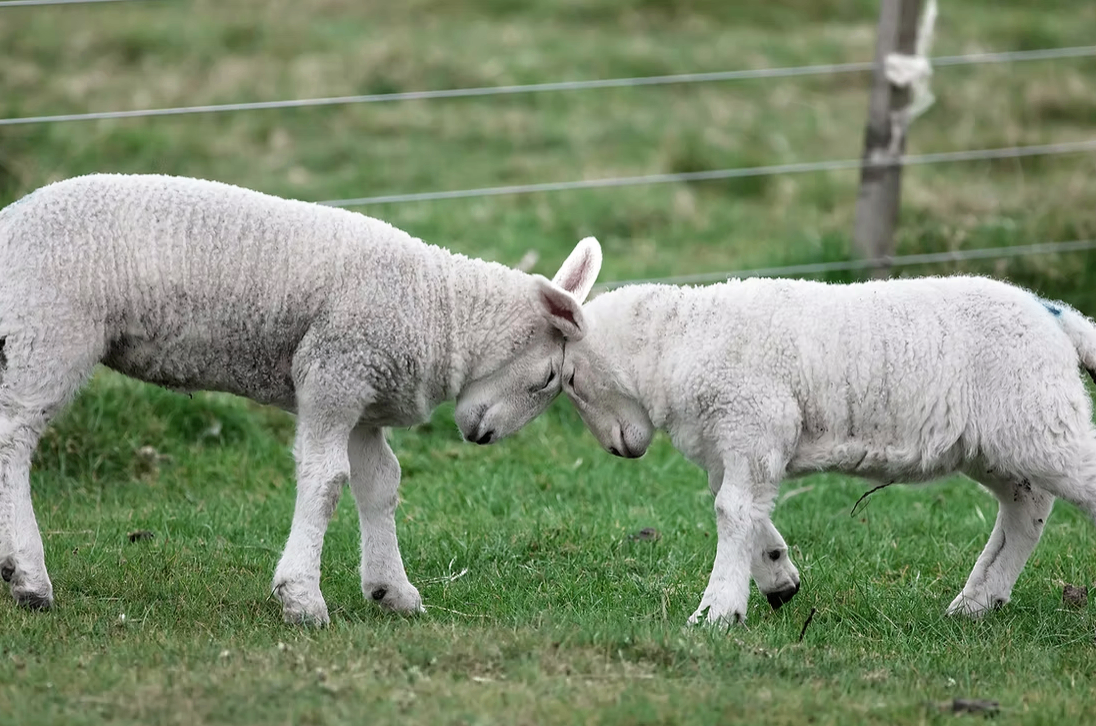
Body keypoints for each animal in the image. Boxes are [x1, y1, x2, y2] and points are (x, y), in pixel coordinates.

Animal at [0, 173, 603, 625]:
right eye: (549, 377)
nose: (483, 437)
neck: (440, 311)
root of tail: (9, 220)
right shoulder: (334, 372)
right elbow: (328, 479)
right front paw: (302, 598)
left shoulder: (365, 396)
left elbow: (380, 482)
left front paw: (391, 589)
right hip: (48, 332)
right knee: (13, 439)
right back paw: (30, 577)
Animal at [558, 274, 1096, 626]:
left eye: (571, 379)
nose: (619, 450)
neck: (677, 342)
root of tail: (1053, 315)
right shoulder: (732, 446)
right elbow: (743, 509)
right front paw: (776, 575)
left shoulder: (757, 422)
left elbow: (731, 511)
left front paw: (716, 613)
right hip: (1000, 440)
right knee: (1026, 508)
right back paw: (977, 601)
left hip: (1040, 420)